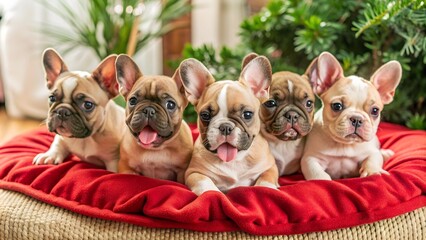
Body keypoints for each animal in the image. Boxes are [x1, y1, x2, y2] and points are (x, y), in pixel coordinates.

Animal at [114, 54, 192, 182]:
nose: (149, 110)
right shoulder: (126, 166)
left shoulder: (182, 171)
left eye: (170, 105)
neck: (155, 150)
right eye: (132, 101)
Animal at [174, 55, 280, 195]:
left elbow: (266, 180)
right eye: (205, 115)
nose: (225, 127)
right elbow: (205, 184)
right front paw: (213, 194)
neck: (234, 160)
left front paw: (266, 189)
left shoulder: (270, 167)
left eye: (247, 114)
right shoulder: (193, 173)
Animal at [302, 52, 402, 180]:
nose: (357, 119)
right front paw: (322, 179)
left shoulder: (372, 152)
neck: (344, 145)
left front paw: (373, 172)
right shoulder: (310, 158)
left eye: (375, 111)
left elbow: (373, 159)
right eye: (337, 106)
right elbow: (315, 171)